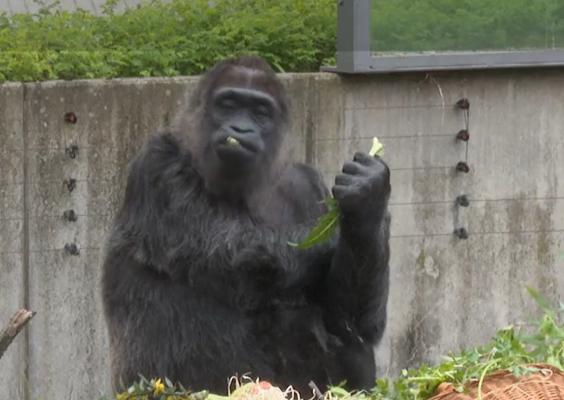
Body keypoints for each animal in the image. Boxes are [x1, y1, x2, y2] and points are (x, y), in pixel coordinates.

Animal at [101, 54, 390, 396]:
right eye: (228, 104)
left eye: (260, 111)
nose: (240, 128)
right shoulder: (158, 165)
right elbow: (238, 254)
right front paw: (345, 231)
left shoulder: (306, 184)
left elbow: (349, 317)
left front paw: (367, 206)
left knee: (349, 335)